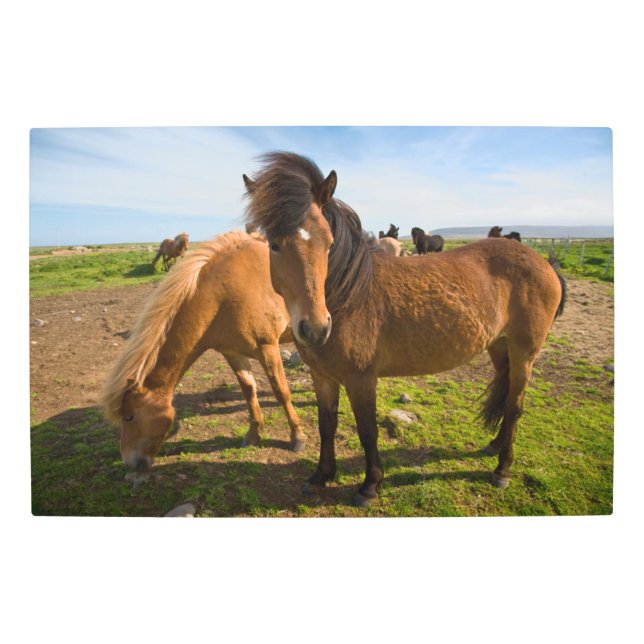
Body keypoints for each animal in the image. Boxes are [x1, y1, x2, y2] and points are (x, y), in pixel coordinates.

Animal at [99, 231, 306, 472]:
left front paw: (297, 437)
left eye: (129, 417)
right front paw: (253, 434)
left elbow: (281, 392)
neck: (223, 295)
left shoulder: (268, 348)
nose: (129, 461)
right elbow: (249, 391)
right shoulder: (233, 353)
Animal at [243, 152, 566, 508]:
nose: (315, 328)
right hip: (499, 346)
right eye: (273, 244)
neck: (349, 296)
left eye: (328, 243)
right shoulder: (323, 376)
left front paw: (369, 485)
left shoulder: (361, 379)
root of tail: (544, 263)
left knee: (516, 405)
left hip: (525, 352)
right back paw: (495, 444)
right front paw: (320, 477)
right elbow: (327, 425)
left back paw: (502, 470)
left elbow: (367, 430)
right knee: (507, 398)